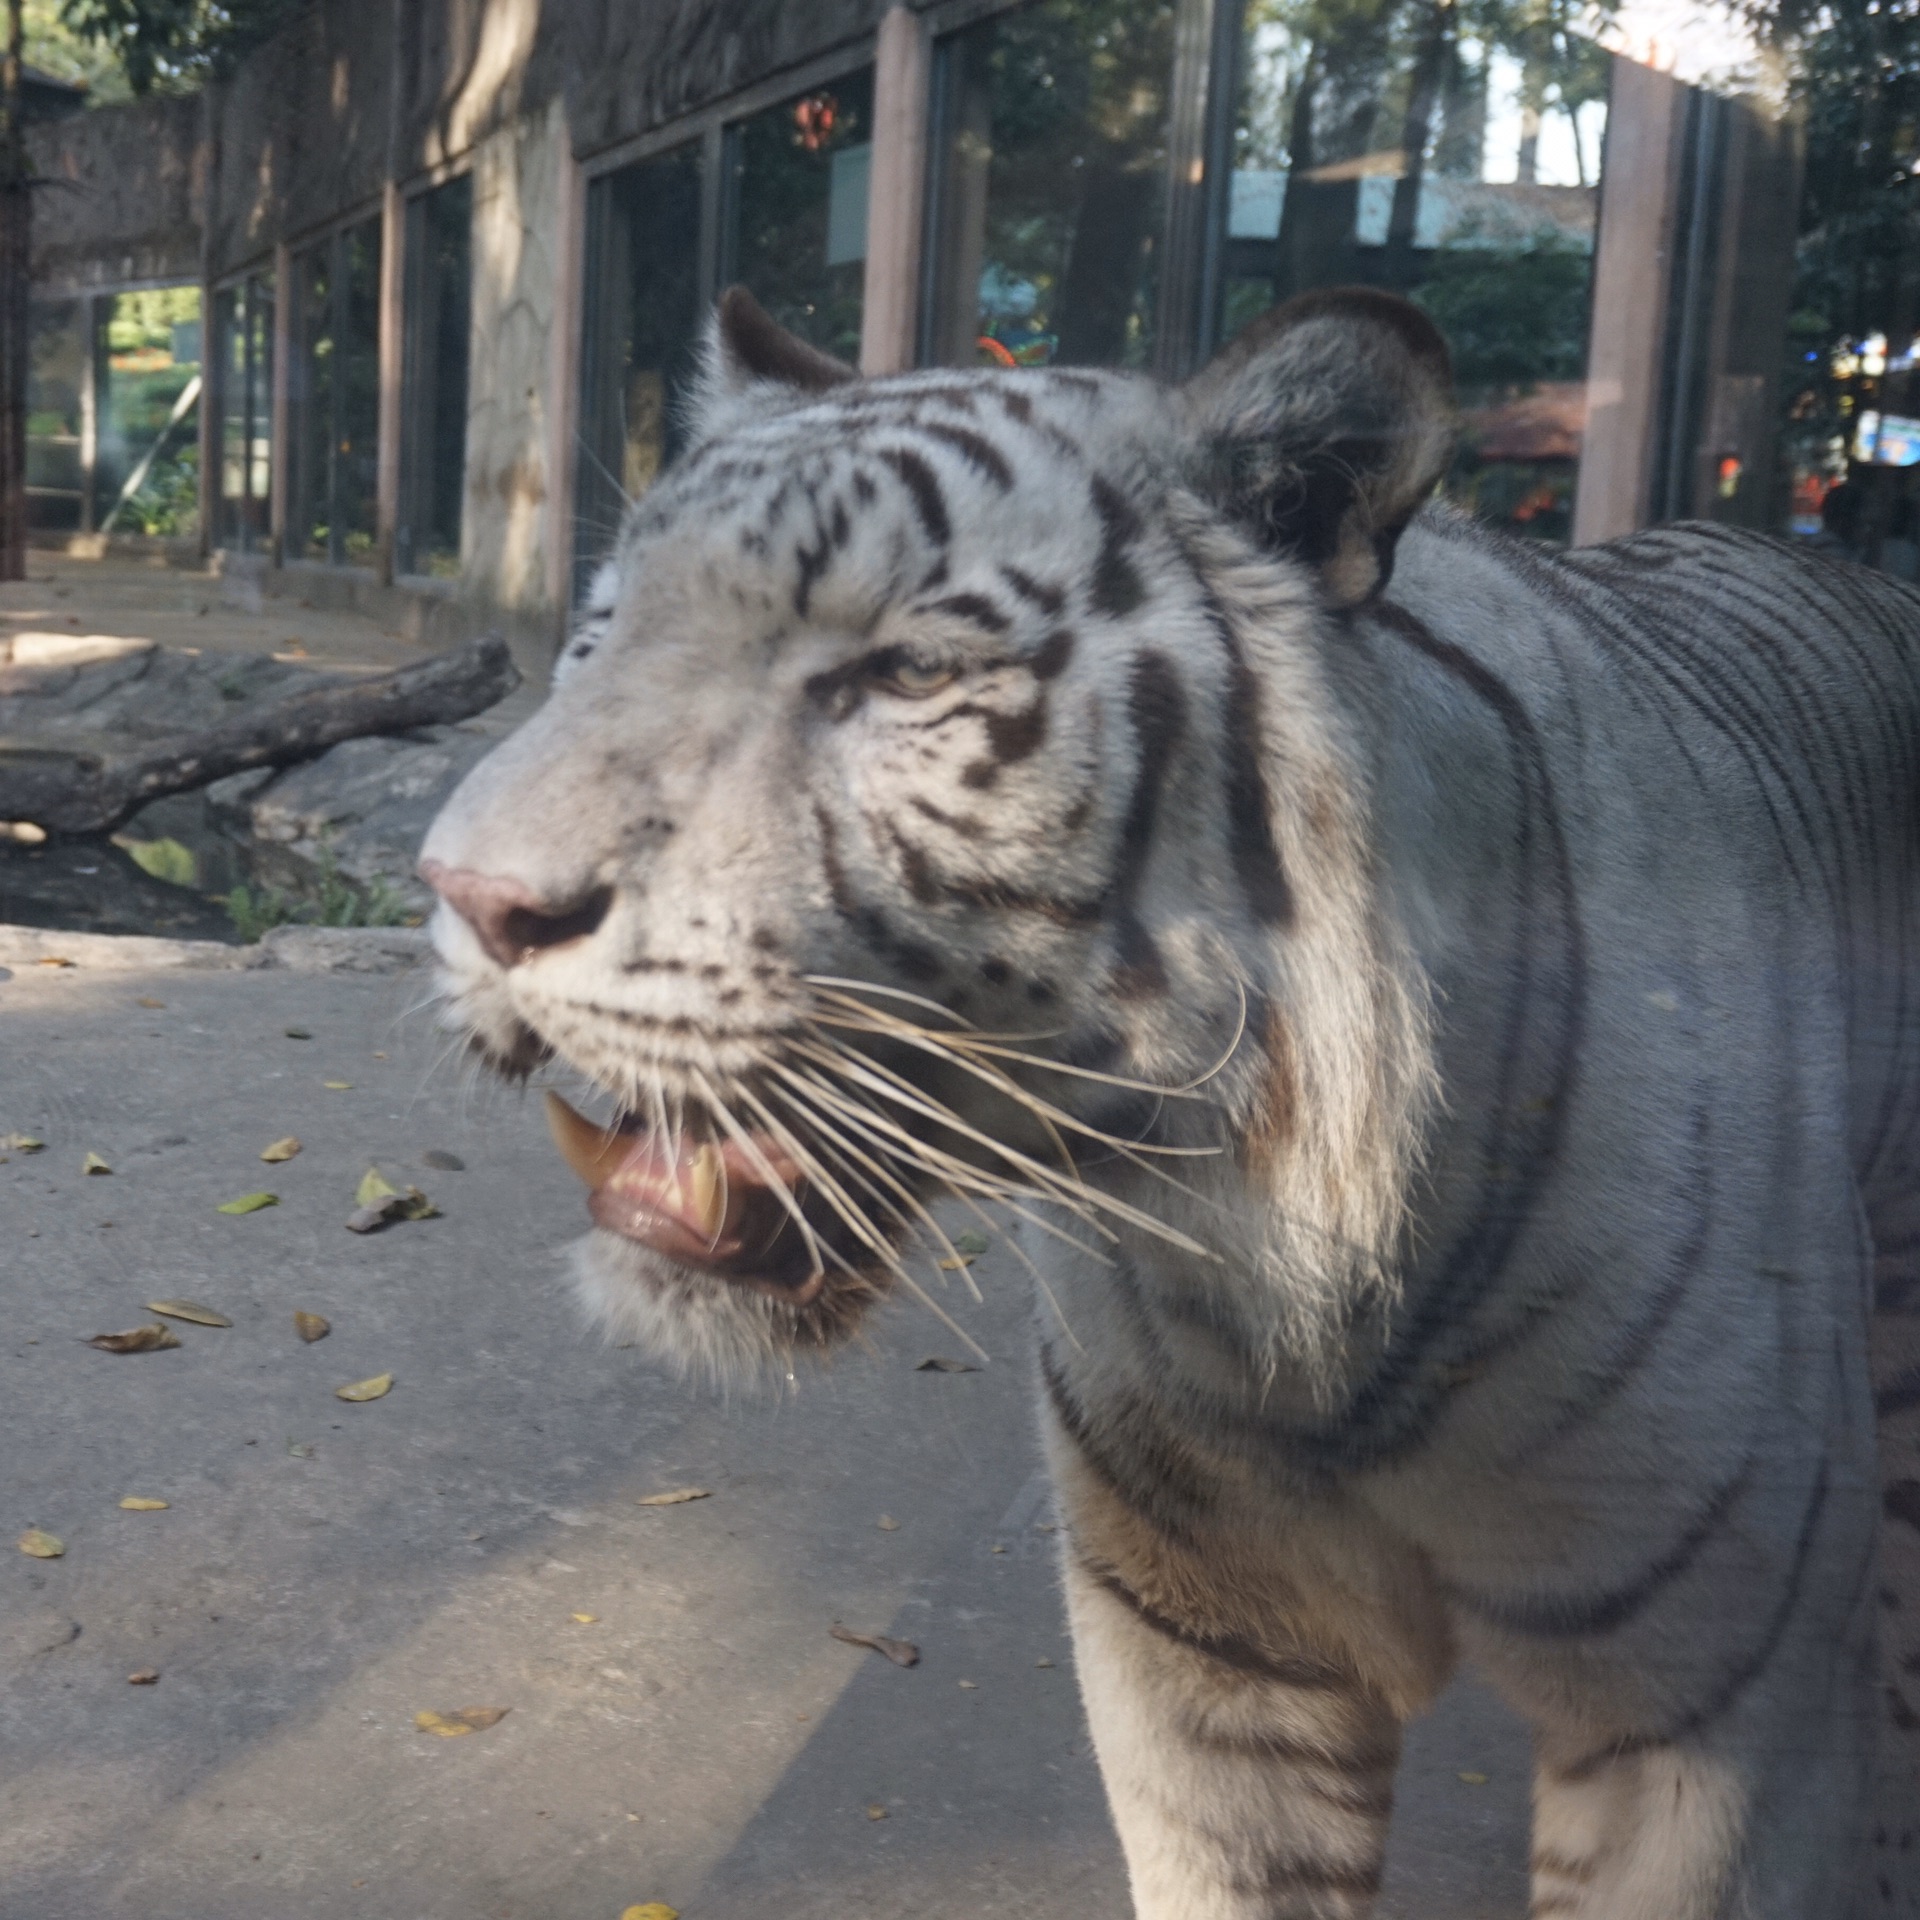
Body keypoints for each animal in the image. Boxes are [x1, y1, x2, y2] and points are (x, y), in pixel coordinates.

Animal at [420, 288, 1920, 1920]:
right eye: (597, 640)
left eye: (906, 676)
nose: (467, 895)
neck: (1288, 1301)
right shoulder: (1205, 1657)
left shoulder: (1713, 1722)